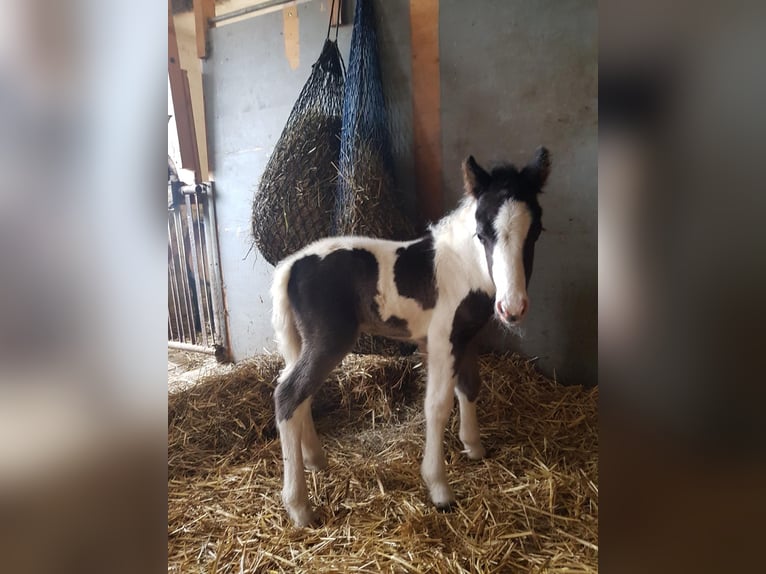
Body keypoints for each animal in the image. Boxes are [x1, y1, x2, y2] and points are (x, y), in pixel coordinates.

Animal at [272, 147, 548, 528]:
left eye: (535, 232)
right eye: (481, 233)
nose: (512, 308)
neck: (464, 267)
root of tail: (290, 266)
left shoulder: (467, 338)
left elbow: (469, 387)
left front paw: (474, 447)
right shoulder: (442, 339)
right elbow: (437, 405)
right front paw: (439, 488)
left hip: (304, 343)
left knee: (301, 396)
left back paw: (316, 460)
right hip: (329, 341)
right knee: (288, 395)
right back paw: (299, 507)